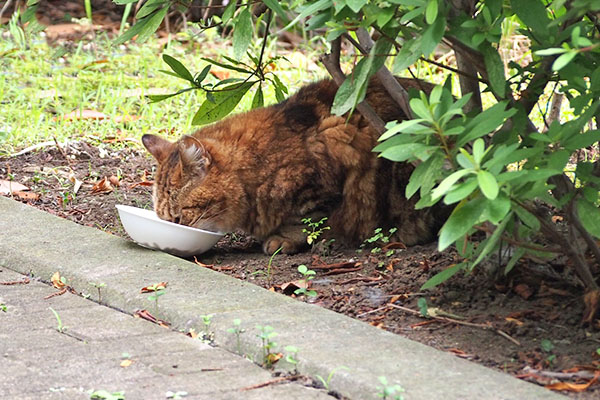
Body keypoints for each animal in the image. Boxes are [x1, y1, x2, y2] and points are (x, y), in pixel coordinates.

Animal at [143, 76, 448, 255]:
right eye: (164, 218)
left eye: (179, 217)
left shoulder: (327, 175)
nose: (171, 229)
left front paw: (282, 239)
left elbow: (304, 221)